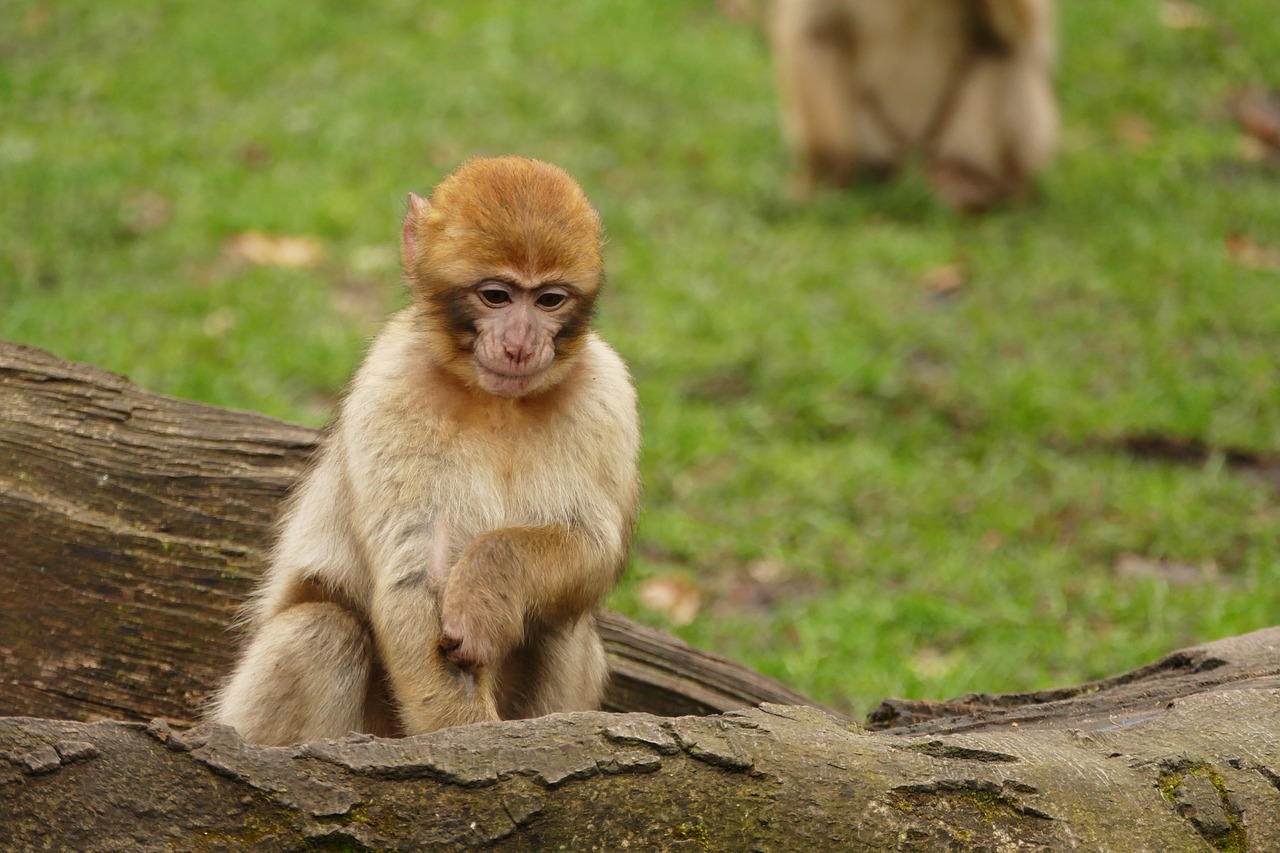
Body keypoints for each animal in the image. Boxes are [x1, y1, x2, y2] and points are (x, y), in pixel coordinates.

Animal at [216, 156, 650, 742]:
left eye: (548, 299)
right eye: (497, 296)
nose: (520, 346)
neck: (496, 402)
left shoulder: (607, 393)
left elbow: (592, 543)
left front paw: (489, 585)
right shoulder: (392, 386)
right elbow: (416, 575)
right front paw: (473, 740)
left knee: (564, 629)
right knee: (322, 629)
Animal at [768, 0, 1059, 211]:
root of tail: (913, 158)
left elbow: (1026, 30)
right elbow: (815, 32)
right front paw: (826, 174)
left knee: (1004, 54)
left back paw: (991, 188)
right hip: (877, 139)